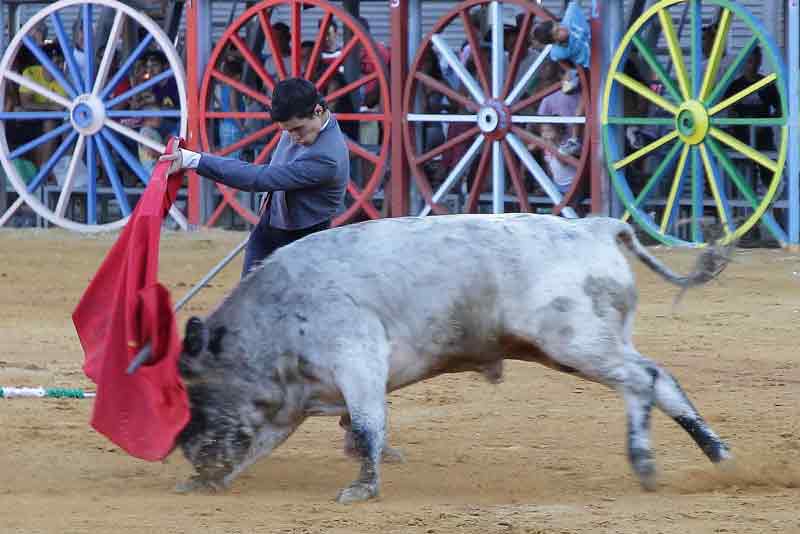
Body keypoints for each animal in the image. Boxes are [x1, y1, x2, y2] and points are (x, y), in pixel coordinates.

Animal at [175, 213, 732, 502]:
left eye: (194, 388)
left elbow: (368, 426)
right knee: (659, 381)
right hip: (592, 343)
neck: (277, 311)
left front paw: (363, 488)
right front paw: (207, 482)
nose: (190, 450)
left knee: (641, 380)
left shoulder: (358, 359)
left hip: (578, 342)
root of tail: (597, 226)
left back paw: (645, 461)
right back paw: (718, 455)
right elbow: (259, 445)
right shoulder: (293, 401)